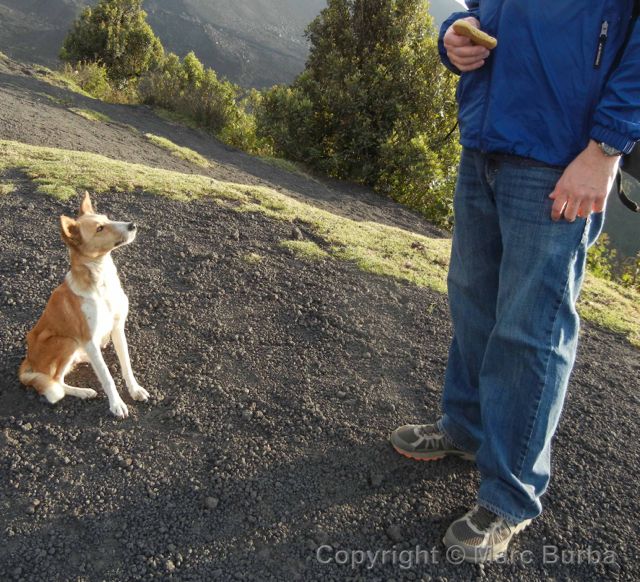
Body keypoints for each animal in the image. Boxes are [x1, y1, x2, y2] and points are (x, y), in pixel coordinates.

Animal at [17, 193, 149, 420]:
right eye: (99, 228)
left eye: (107, 218)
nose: (132, 225)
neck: (102, 281)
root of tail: (28, 363)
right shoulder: (88, 337)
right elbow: (107, 377)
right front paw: (116, 404)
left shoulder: (117, 327)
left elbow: (126, 365)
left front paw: (135, 390)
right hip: (66, 341)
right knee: (56, 381)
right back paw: (84, 391)